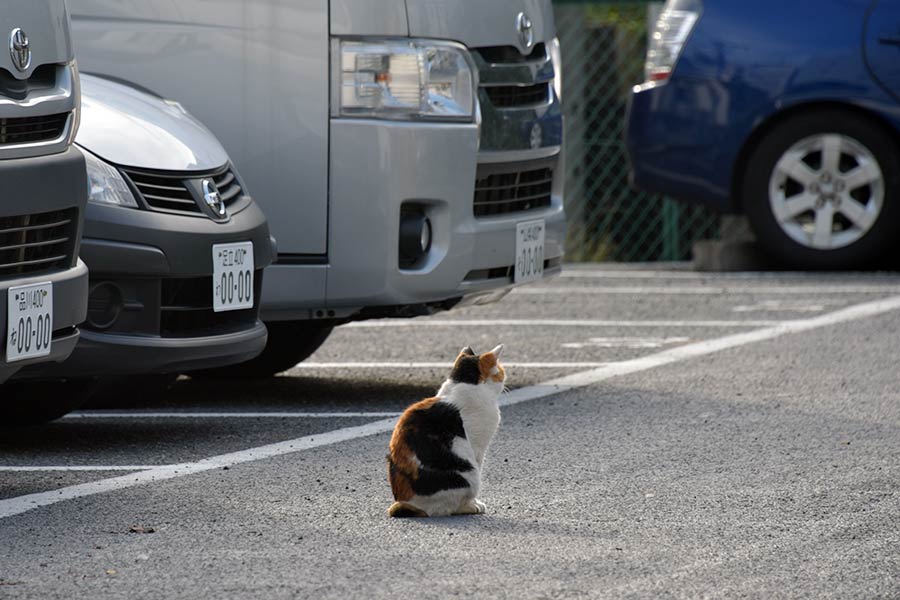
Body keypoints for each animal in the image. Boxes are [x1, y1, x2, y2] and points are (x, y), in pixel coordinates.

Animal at [384, 344, 506, 516]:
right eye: (500, 371)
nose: (504, 378)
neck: (464, 384)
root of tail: (408, 504)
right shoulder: (477, 447)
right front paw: (475, 503)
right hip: (469, 473)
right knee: (449, 507)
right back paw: (470, 507)